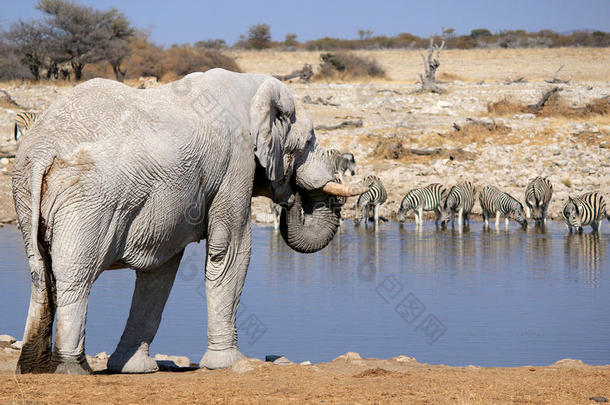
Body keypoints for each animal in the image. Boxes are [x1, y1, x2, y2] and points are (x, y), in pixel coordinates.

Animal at [13, 68, 366, 374]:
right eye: (308, 143)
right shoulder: (235, 164)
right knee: (76, 276)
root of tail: (43, 148)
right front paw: (230, 363)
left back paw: (31, 369)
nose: (292, 198)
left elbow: (160, 269)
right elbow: (231, 250)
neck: (250, 88)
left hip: (26, 192)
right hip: (90, 200)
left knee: (39, 271)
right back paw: (72, 369)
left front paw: (134, 369)